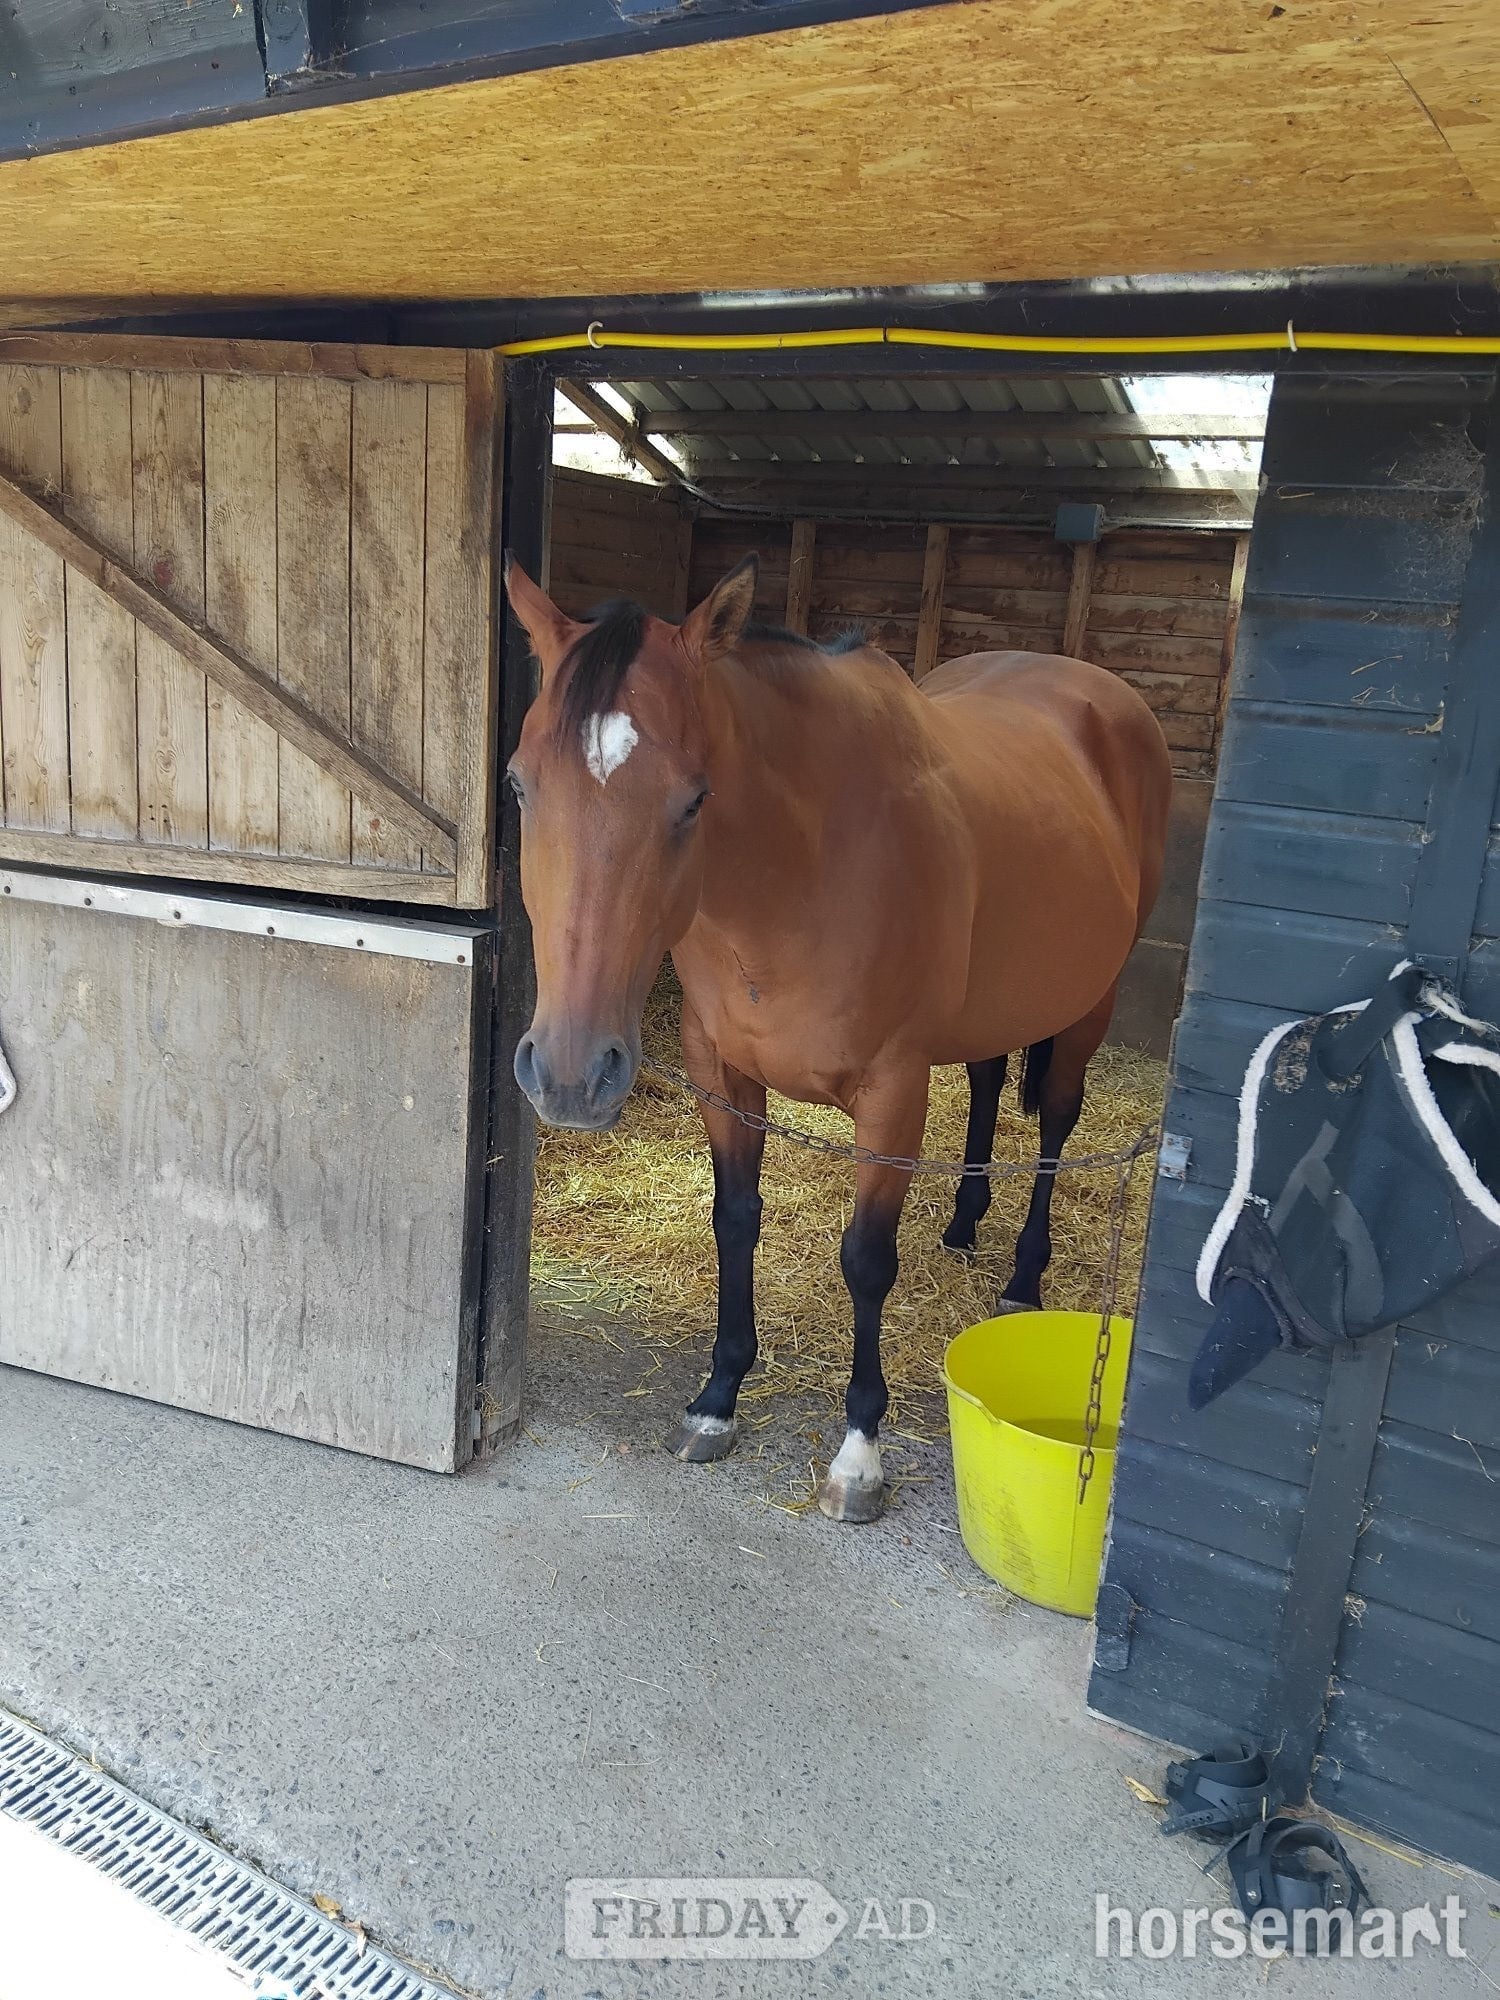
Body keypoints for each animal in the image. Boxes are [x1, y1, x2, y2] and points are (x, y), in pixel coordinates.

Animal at [504, 553, 1172, 1523]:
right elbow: (734, 1221)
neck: (799, 868)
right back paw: (964, 1224)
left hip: (1090, 1006)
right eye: (519, 785)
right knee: (984, 1079)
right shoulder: (722, 1074)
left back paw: (1021, 1277)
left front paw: (860, 1451)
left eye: (693, 801)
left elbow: (866, 1260)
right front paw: (716, 1399)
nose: (568, 1074)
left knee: (1054, 1119)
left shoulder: (891, 1096)